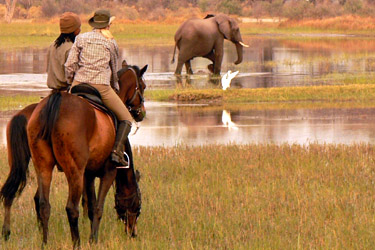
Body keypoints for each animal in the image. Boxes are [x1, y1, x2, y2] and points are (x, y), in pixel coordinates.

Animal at [0, 63, 148, 248]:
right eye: (142, 86)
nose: (133, 233)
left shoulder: (89, 174)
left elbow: (91, 205)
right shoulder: (108, 172)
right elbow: (97, 207)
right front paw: (93, 239)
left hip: (41, 165)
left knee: (39, 202)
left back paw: (41, 240)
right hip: (74, 171)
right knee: (71, 208)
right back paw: (76, 243)